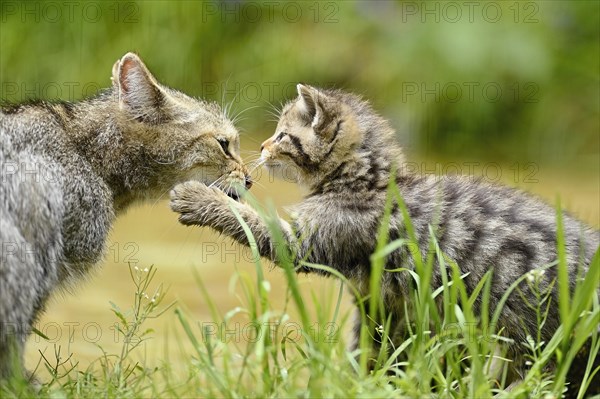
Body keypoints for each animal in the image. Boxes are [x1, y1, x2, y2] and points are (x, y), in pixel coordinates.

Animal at [170, 83, 600, 394]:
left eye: (282, 135)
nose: (261, 146)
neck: (367, 181)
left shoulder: (306, 242)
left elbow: (253, 223)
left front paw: (198, 196)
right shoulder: (380, 302)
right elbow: (374, 351)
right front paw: (364, 382)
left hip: (538, 336)